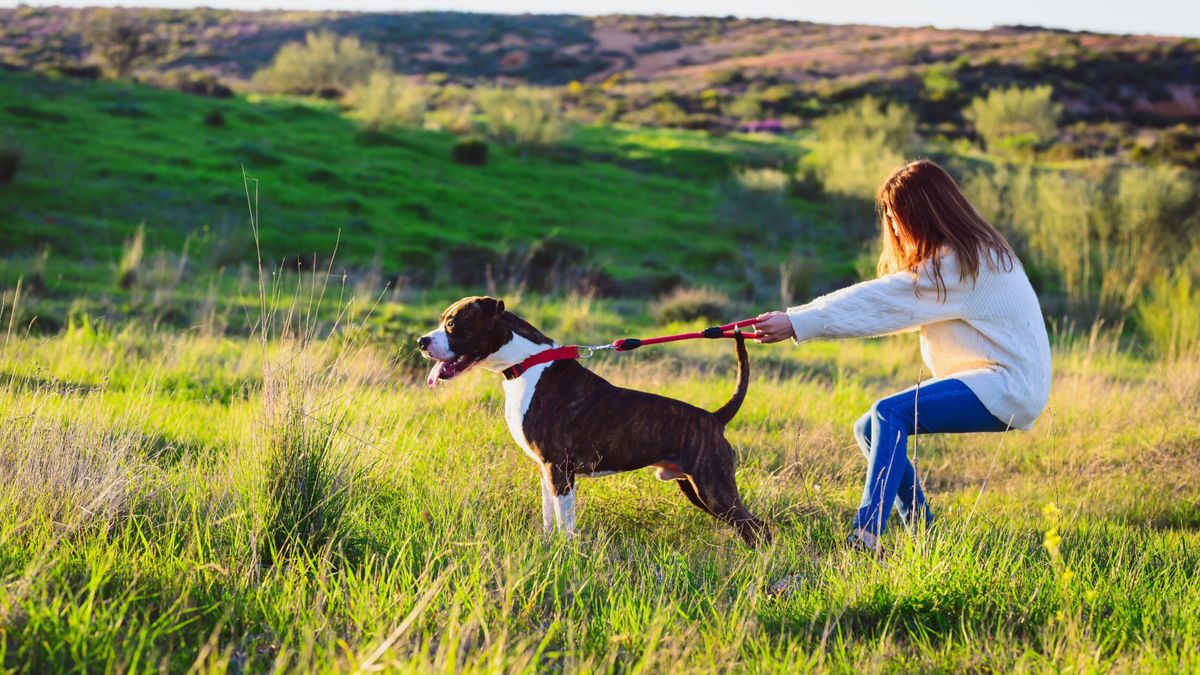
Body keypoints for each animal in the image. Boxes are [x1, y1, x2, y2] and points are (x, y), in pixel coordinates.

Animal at [420, 296, 768, 542]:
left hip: (714, 489)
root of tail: (714, 418)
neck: (528, 362)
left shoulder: (559, 468)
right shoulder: (546, 471)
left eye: (453, 324)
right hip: (697, 488)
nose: (422, 341)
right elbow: (550, 519)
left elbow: (565, 524)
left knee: (759, 527)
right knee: (748, 528)